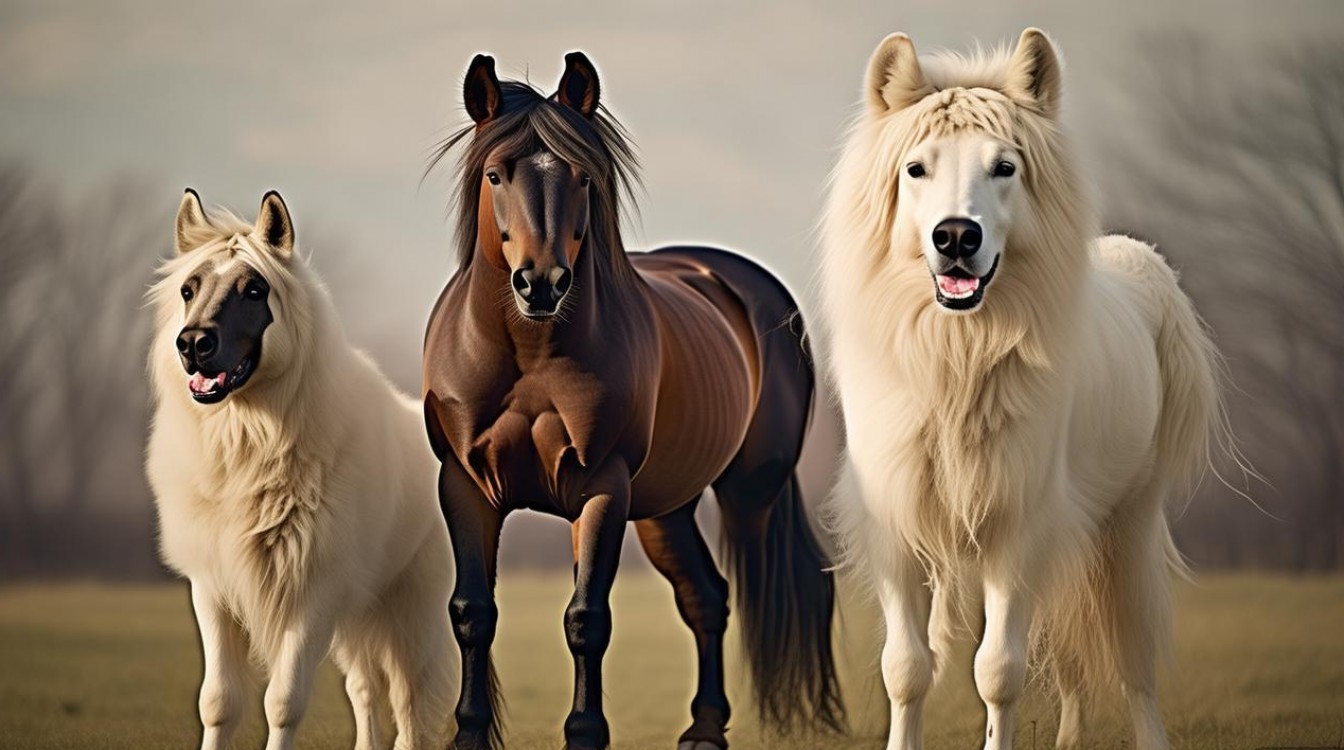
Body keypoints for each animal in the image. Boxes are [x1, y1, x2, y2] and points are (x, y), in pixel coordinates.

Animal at [146, 190, 456, 750]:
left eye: (254, 289)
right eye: (188, 289)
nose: (193, 344)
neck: (249, 449)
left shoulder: (313, 593)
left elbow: (283, 702)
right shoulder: (213, 589)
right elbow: (218, 702)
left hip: (410, 610)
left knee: (409, 701)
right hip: (358, 617)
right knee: (365, 688)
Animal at [422, 52, 844, 750]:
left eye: (582, 176)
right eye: (495, 174)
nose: (542, 283)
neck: (529, 354)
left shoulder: (601, 487)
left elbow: (586, 618)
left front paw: (585, 733)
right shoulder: (464, 483)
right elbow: (471, 613)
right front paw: (468, 735)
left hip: (743, 493)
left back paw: (708, 730)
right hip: (666, 509)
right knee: (706, 597)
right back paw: (703, 729)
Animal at [819, 30, 1221, 750]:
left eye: (1005, 167)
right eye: (915, 169)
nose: (956, 236)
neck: (957, 357)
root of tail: (1143, 266)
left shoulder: (1020, 528)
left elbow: (997, 672)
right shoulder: (898, 527)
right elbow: (906, 668)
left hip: (1128, 526)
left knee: (1132, 653)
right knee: (1069, 656)